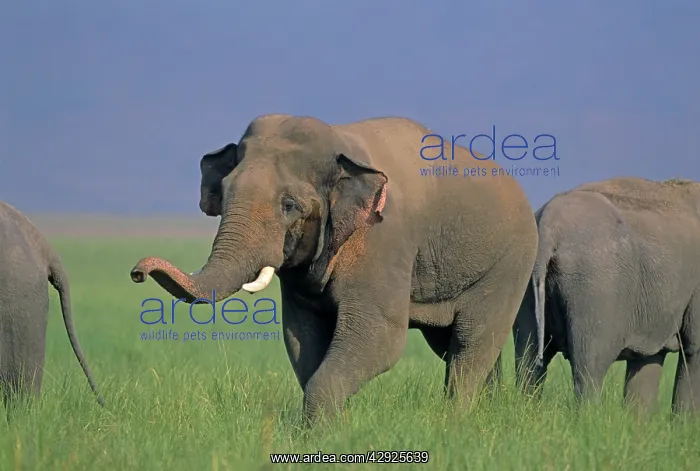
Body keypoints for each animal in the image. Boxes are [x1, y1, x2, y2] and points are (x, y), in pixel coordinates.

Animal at [129, 113, 538, 424]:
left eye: (290, 206)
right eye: (224, 194)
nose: (137, 272)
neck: (339, 142)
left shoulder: (384, 239)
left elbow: (378, 338)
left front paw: (321, 434)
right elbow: (302, 339)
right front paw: (334, 429)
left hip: (509, 262)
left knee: (472, 343)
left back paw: (455, 421)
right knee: (455, 345)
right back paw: (485, 416)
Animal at [511, 177, 700, 414]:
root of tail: (548, 225)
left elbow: (647, 362)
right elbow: (694, 350)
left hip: (526, 279)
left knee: (528, 362)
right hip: (596, 287)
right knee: (589, 368)